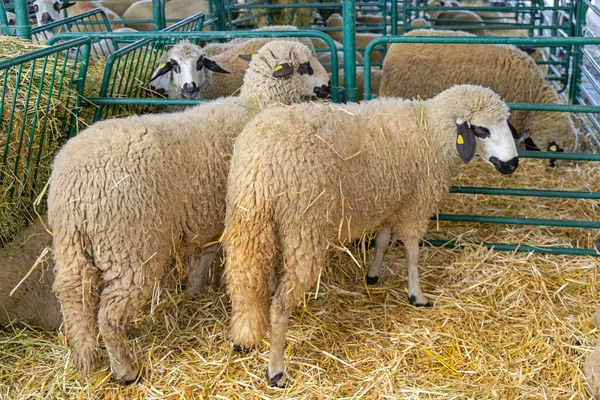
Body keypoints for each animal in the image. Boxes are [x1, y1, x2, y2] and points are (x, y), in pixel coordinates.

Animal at [49, 40, 330, 384]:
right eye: (305, 66)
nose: (328, 85)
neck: (256, 104)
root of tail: (74, 185)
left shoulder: (214, 214)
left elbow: (208, 253)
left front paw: (196, 289)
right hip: (130, 248)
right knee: (109, 314)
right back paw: (125, 370)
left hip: (71, 246)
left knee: (74, 297)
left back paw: (85, 360)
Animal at [223, 83, 516, 388]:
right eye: (481, 130)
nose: (513, 163)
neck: (431, 129)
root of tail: (258, 168)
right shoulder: (415, 204)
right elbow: (412, 250)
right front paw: (417, 294)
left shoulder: (392, 200)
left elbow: (384, 240)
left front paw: (373, 274)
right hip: (304, 230)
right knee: (279, 306)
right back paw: (276, 369)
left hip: (253, 225)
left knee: (250, 280)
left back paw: (247, 335)